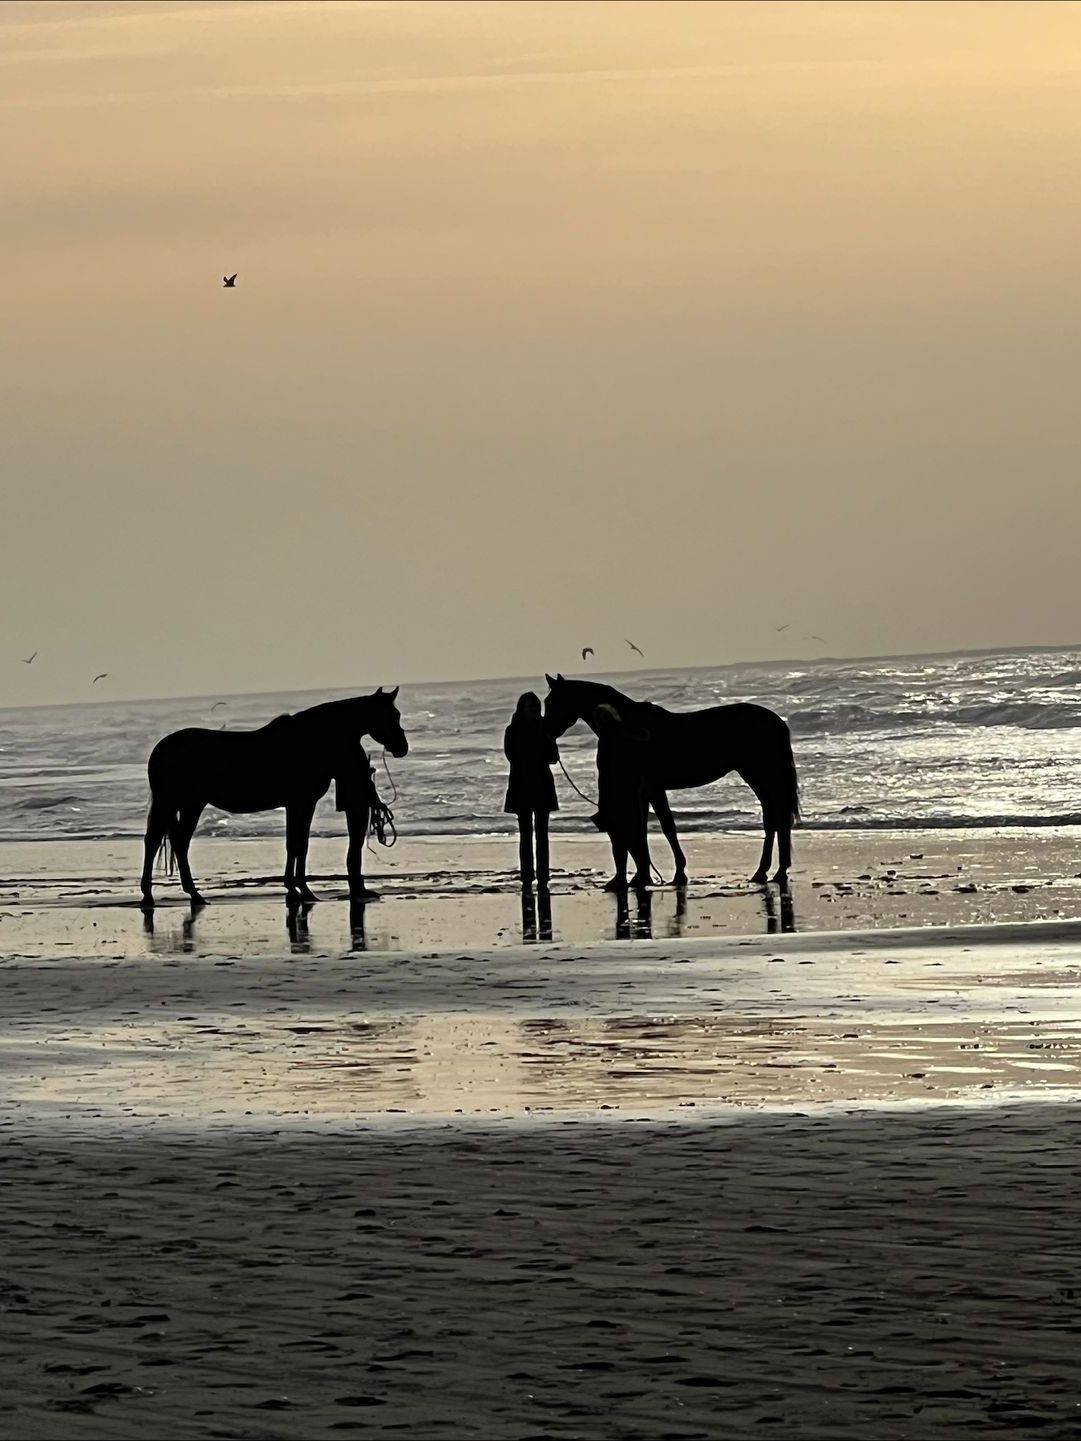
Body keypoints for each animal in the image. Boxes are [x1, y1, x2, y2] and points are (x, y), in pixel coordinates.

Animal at [139, 687, 408, 909]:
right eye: (392, 715)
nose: (402, 748)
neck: (311, 740)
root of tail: (160, 749)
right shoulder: (299, 803)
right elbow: (296, 845)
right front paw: (298, 890)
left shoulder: (303, 805)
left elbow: (300, 844)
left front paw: (300, 890)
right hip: (170, 803)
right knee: (154, 841)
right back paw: (150, 896)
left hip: (191, 805)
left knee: (179, 842)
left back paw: (193, 895)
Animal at [543, 674, 799, 886]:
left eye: (551, 702)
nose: (546, 733)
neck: (629, 726)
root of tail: (777, 721)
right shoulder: (644, 791)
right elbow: (646, 828)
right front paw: (646, 876)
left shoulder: (652, 788)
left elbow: (666, 827)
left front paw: (677, 874)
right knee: (774, 818)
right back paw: (771, 872)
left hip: (760, 774)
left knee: (774, 819)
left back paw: (767, 872)